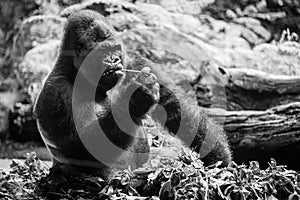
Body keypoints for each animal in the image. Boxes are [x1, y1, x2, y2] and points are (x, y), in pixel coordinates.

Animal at [33, 9, 232, 178]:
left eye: (115, 50)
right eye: (103, 52)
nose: (115, 60)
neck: (76, 72)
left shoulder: (134, 61)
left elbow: (175, 106)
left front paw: (219, 158)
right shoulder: (56, 91)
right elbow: (83, 151)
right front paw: (136, 100)